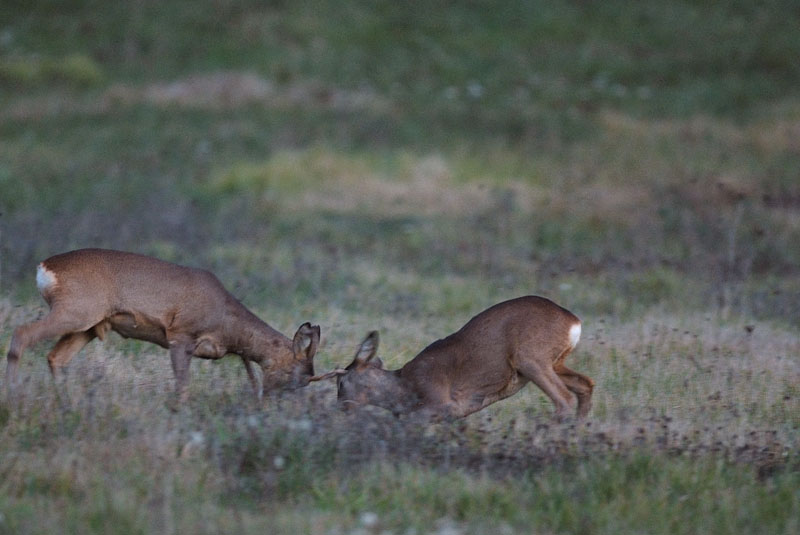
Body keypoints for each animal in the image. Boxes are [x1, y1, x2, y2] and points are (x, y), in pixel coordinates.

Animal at [3, 249, 334, 400]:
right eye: (295, 376)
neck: (227, 322)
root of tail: (45, 268)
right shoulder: (180, 334)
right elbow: (182, 387)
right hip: (76, 310)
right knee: (21, 334)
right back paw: (12, 394)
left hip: (88, 327)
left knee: (55, 357)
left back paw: (66, 403)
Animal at [338, 296, 592, 420]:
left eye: (340, 382)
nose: (342, 407)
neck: (404, 387)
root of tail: (574, 322)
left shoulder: (440, 402)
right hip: (554, 362)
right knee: (586, 385)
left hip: (531, 358)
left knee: (564, 399)